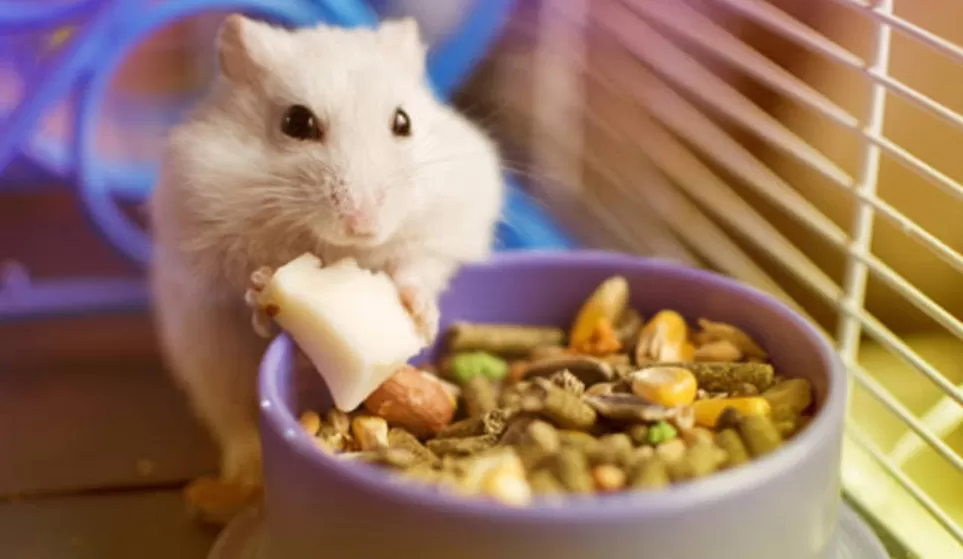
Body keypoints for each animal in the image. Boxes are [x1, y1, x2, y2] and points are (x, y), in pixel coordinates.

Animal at [148, 14, 505, 490]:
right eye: (296, 122)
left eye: (403, 121)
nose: (364, 226)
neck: (335, 246)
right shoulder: (204, 237)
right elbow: (243, 279)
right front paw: (263, 288)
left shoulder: (447, 225)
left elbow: (417, 267)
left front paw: (421, 318)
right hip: (208, 362)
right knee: (235, 425)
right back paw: (243, 476)